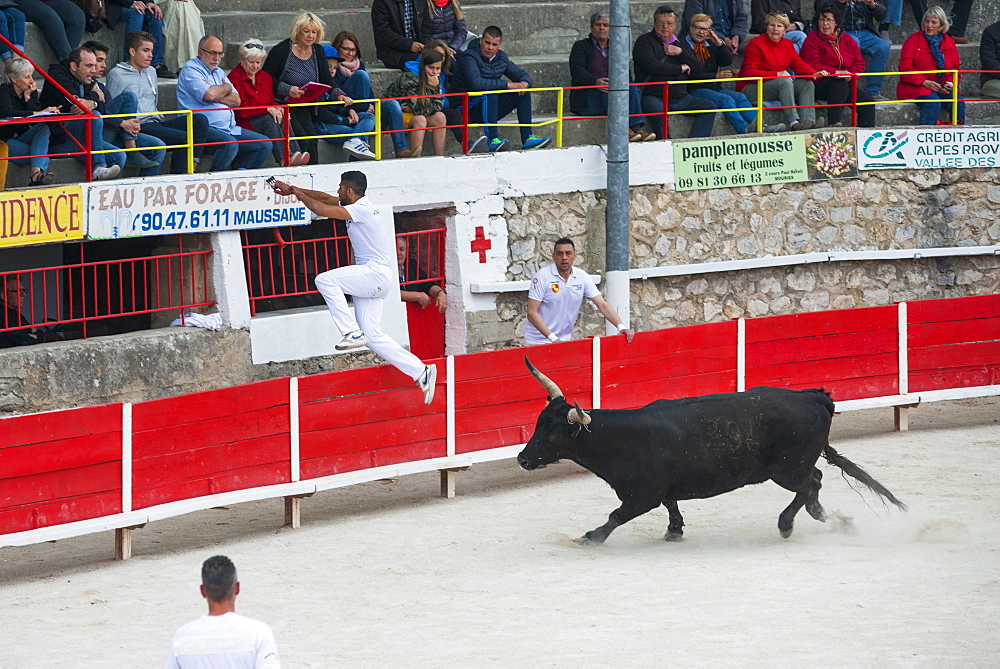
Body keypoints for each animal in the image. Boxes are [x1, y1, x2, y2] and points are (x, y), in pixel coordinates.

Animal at [516, 358, 908, 544]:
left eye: (555, 432)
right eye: (538, 422)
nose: (522, 458)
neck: (620, 439)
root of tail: (811, 396)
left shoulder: (641, 496)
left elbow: (615, 516)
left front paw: (590, 537)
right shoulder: (663, 490)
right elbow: (672, 505)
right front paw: (674, 531)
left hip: (787, 469)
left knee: (811, 484)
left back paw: (788, 524)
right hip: (792, 467)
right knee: (816, 482)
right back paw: (823, 517)